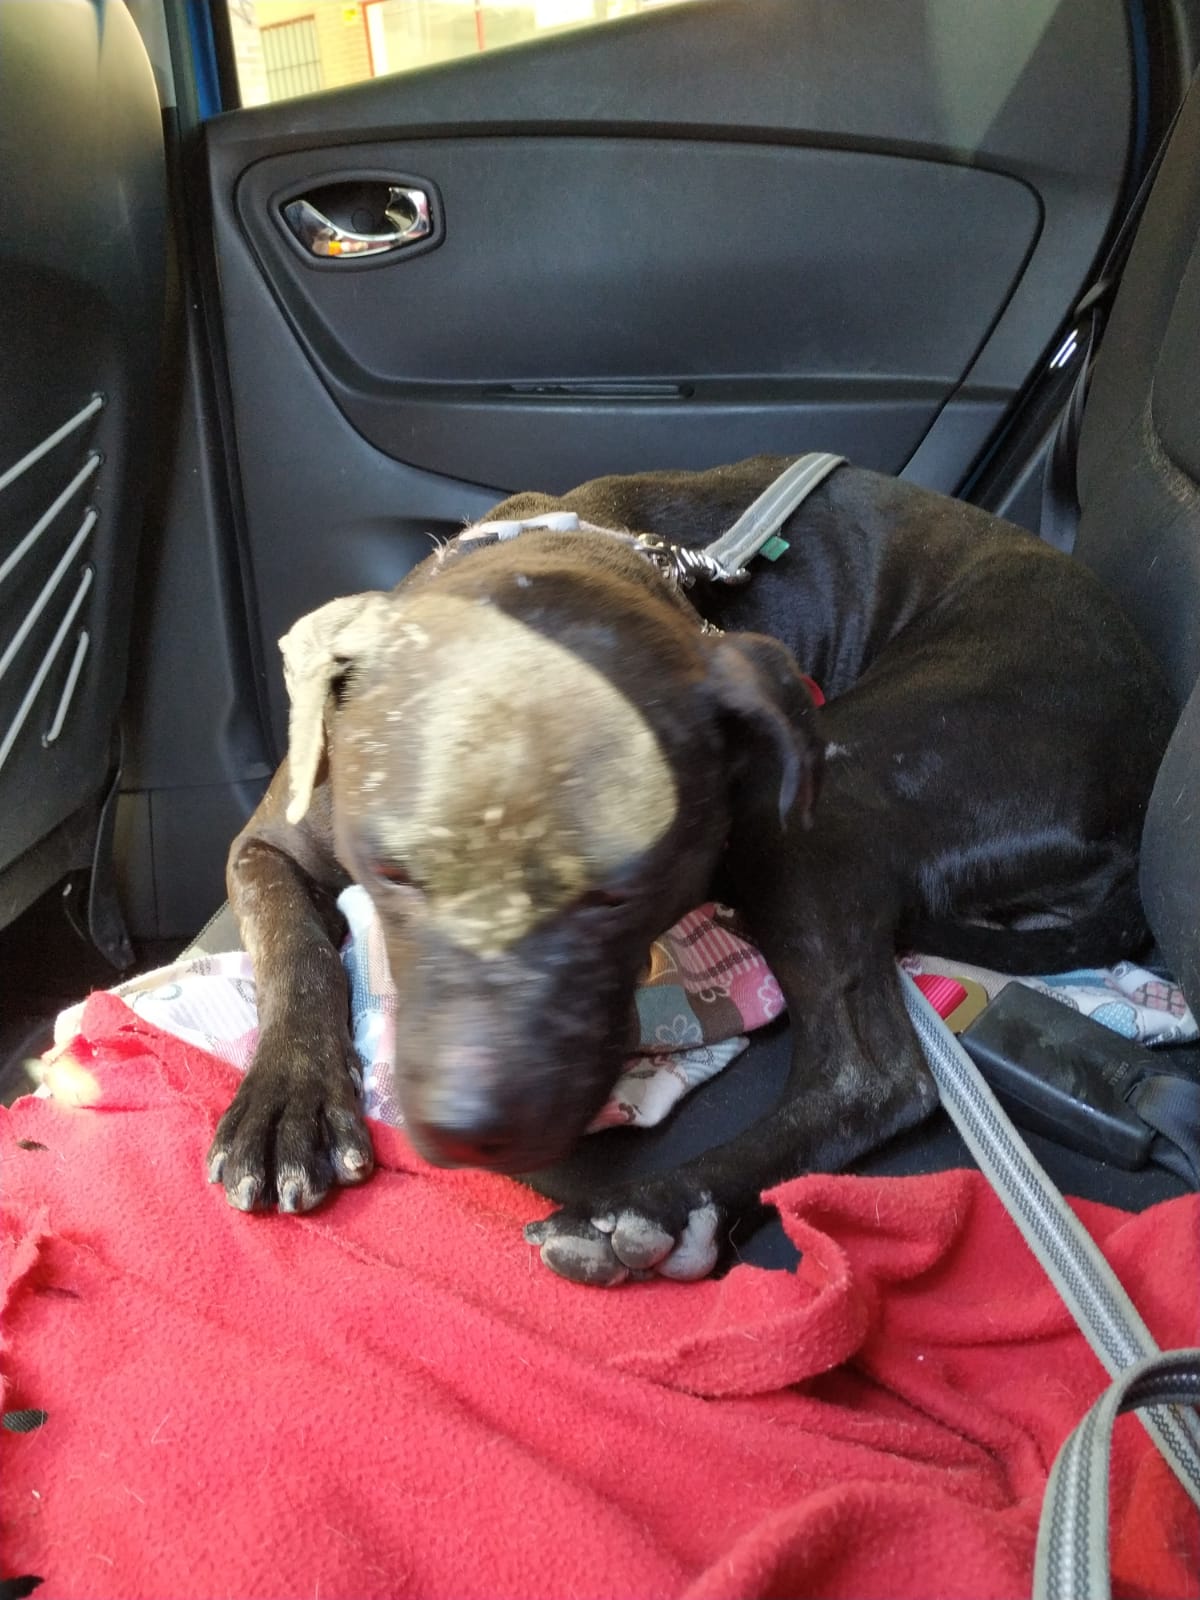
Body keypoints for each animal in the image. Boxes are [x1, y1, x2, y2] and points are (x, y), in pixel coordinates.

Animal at [207, 456, 1174, 1285]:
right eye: (395, 871)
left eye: (619, 891)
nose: (476, 1129)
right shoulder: (264, 846)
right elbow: (295, 948)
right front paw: (290, 1098)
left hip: (823, 798)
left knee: (874, 1073)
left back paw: (655, 1206)